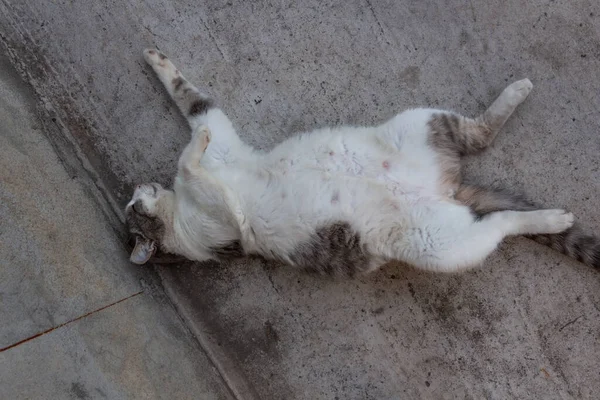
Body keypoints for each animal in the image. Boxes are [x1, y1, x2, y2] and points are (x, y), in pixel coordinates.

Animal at [124, 48, 596, 276]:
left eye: (132, 206)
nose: (135, 191)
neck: (177, 211)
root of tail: (446, 189)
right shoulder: (219, 219)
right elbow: (190, 163)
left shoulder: (219, 140)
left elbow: (193, 103)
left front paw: (156, 60)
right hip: (439, 244)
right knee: (499, 222)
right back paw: (552, 218)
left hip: (416, 123)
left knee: (480, 133)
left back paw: (517, 90)